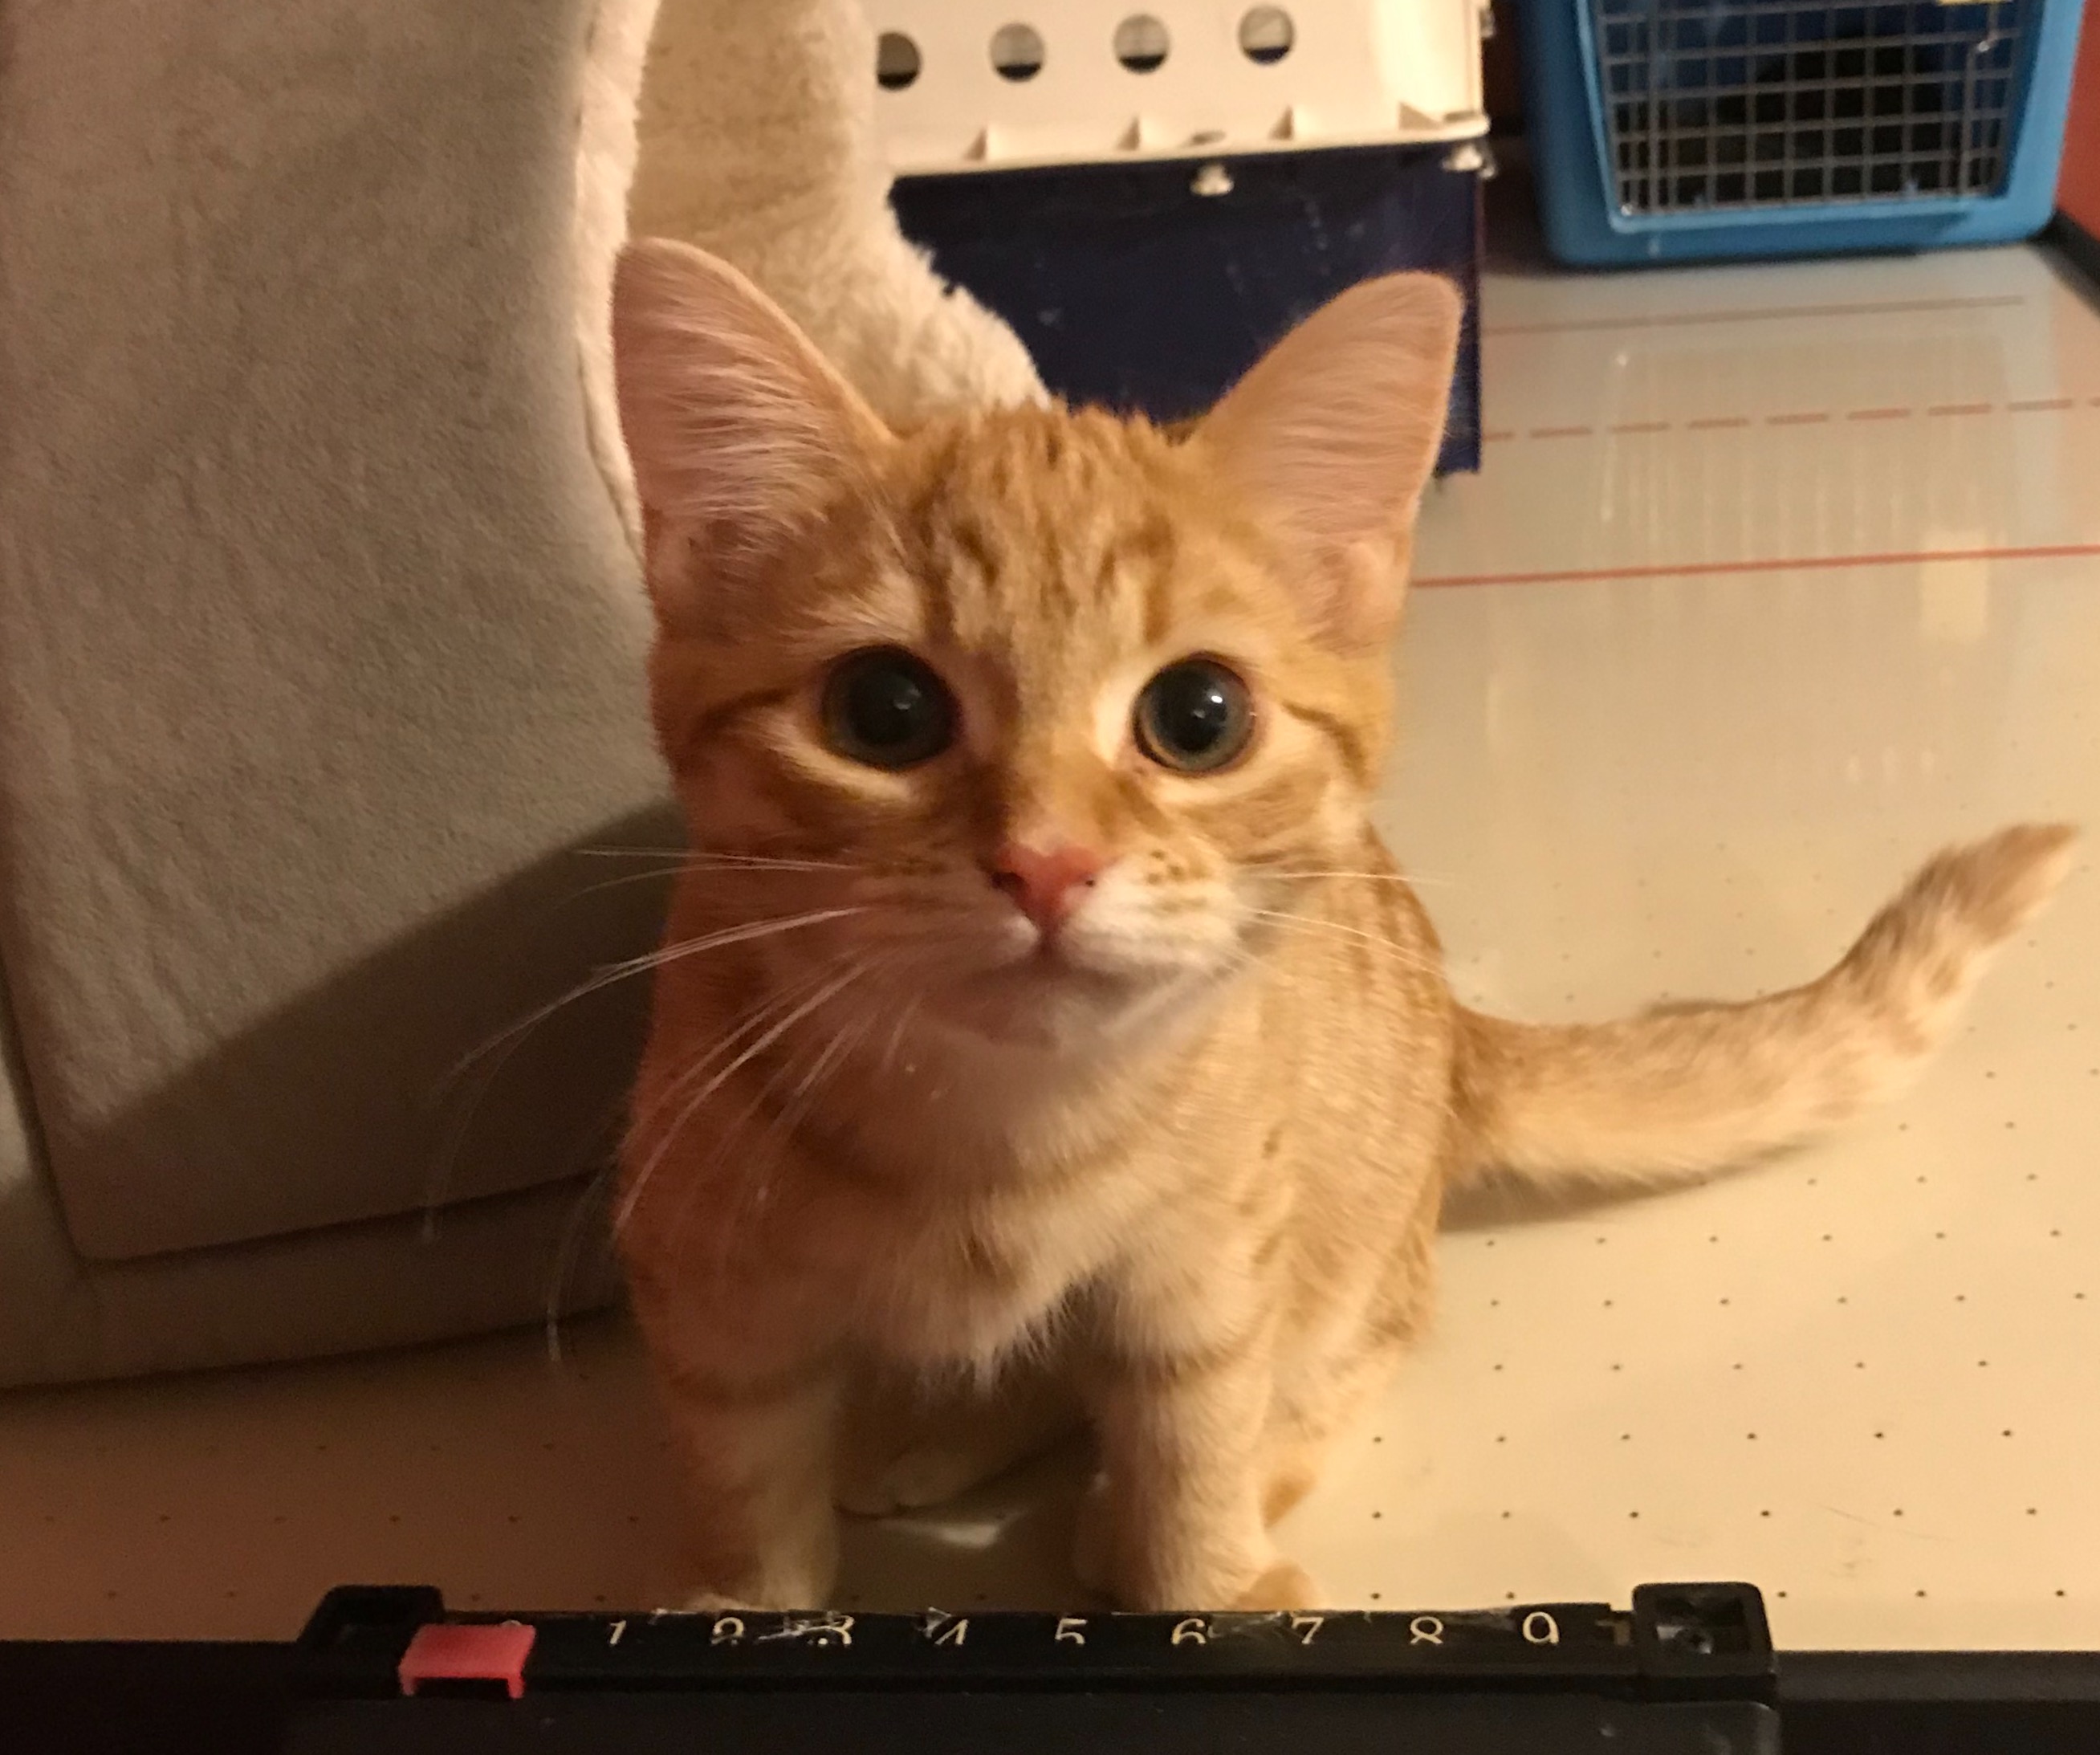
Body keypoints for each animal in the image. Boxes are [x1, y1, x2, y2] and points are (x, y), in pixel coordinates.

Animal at [608, 235, 2076, 1613]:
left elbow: (1198, 1444)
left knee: (1345, 1356)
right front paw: (738, 1604)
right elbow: (742, 1479)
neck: (1003, 1146)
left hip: (1342, 1241)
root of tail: (1460, 1038)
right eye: (885, 712)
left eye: (1197, 716)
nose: (1047, 863)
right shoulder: (706, 1291)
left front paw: (1199, 1584)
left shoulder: (1209, 1272)